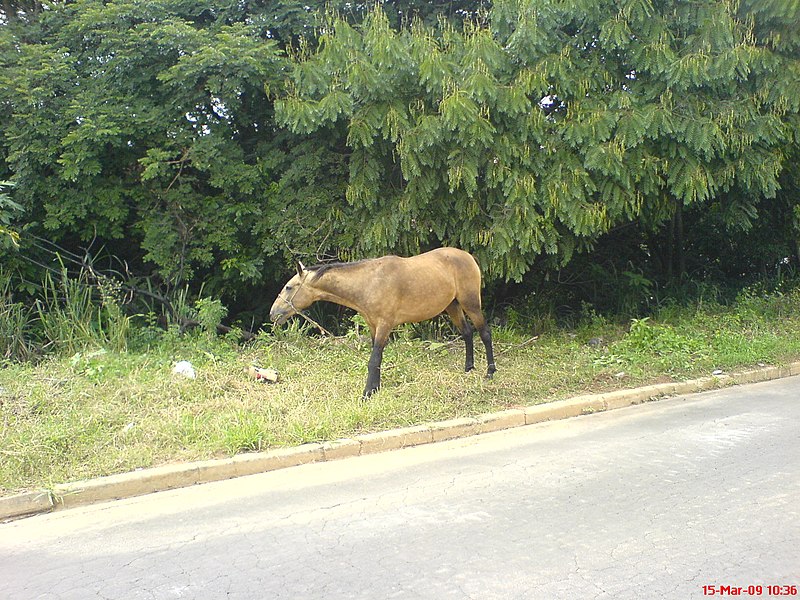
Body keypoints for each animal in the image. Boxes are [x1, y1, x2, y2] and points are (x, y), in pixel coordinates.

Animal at [268, 248, 494, 398]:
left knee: (484, 333)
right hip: (453, 306)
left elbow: (374, 358)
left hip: (471, 303)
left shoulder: (385, 324)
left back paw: (490, 372)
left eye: (288, 287)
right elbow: (377, 358)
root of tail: (468, 256)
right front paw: (375, 388)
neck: (368, 283)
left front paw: (368, 393)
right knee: (467, 333)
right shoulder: (373, 325)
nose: (273, 314)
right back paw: (468, 368)